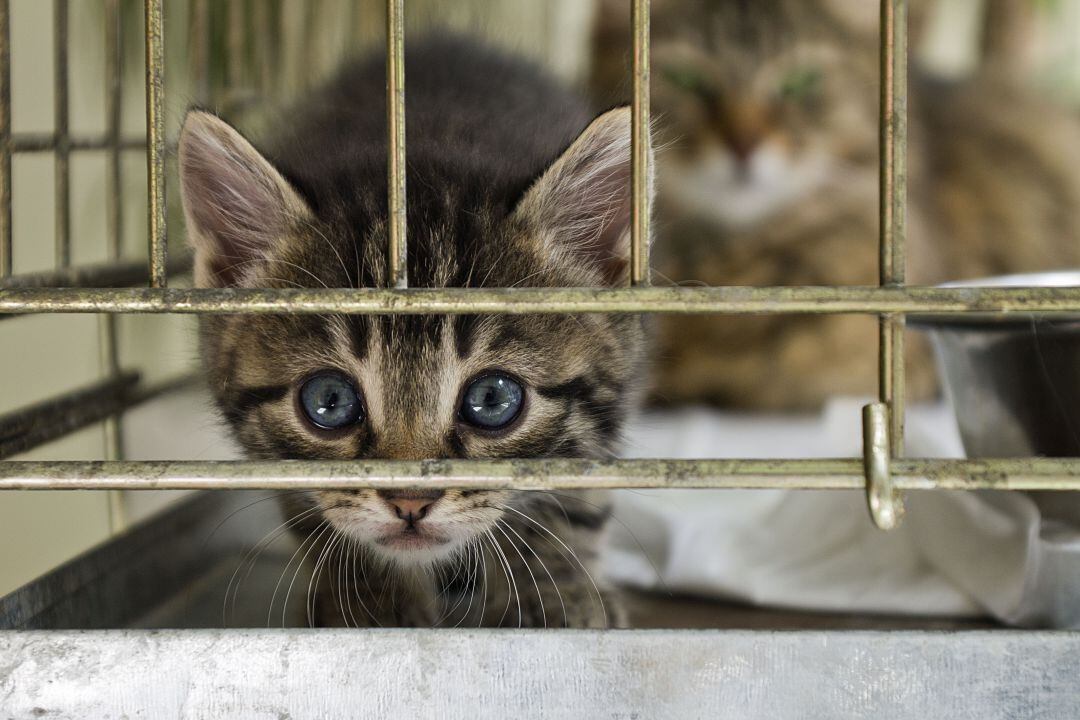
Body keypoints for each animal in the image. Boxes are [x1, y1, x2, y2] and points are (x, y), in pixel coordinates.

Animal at [177, 36, 648, 626]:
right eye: (329, 401)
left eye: (493, 399)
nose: (409, 501)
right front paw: (371, 604)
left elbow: (574, 494)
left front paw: (553, 594)